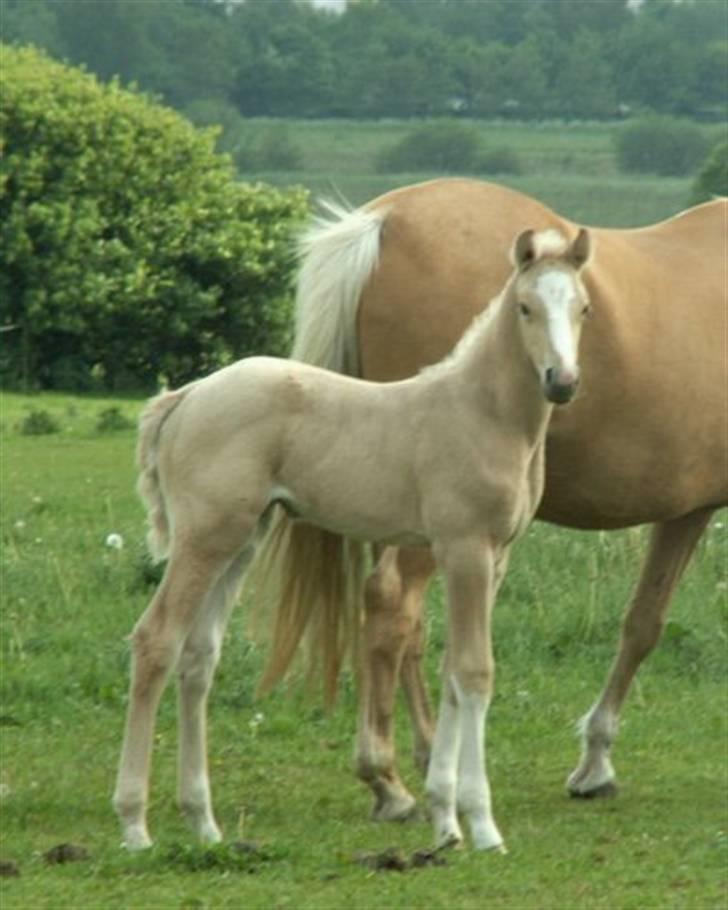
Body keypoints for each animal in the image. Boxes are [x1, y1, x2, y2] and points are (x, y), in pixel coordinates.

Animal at [112, 228, 592, 856]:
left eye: (583, 308)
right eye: (525, 307)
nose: (562, 382)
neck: (482, 414)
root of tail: (187, 397)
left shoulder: (496, 558)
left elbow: (452, 676)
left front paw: (445, 820)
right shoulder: (464, 548)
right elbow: (473, 673)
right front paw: (482, 825)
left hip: (242, 540)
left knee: (199, 657)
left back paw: (204, 823)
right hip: (205, 537)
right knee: (156, 642)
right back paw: (134, 824)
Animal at [268, 182, 728, 824]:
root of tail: (384, 221)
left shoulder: (685, 511)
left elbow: (640, 623)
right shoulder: (688, 513)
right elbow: (644, 627)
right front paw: (594, 764)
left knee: (407, 626)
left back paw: (428, 753)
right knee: (394, 606)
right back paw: (390, 779)